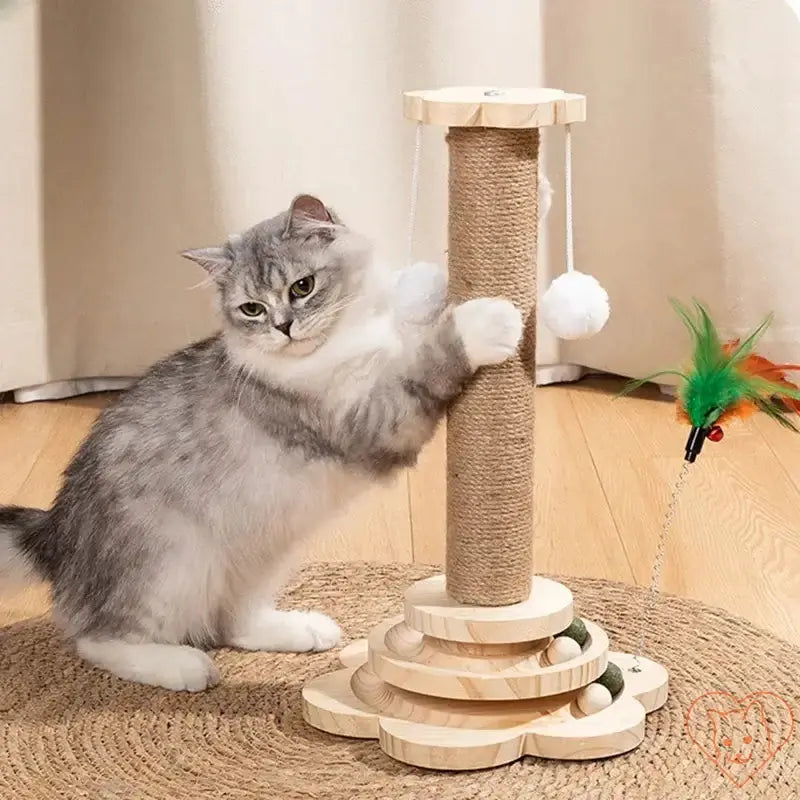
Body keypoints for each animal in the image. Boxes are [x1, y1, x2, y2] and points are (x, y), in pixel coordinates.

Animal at [0, 194, 520, 688]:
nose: (283, 327)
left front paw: (431, 280)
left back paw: (302, 629)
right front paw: (487, 321)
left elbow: (409, 308)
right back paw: (183, 668)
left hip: (264, 554)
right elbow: (430, 358)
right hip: (173, 563)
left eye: (301, 287)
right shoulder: (373, 419)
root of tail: (55, 529)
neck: (345, 340)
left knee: (232, 623)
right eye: (253, 309)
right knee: (98, 638)